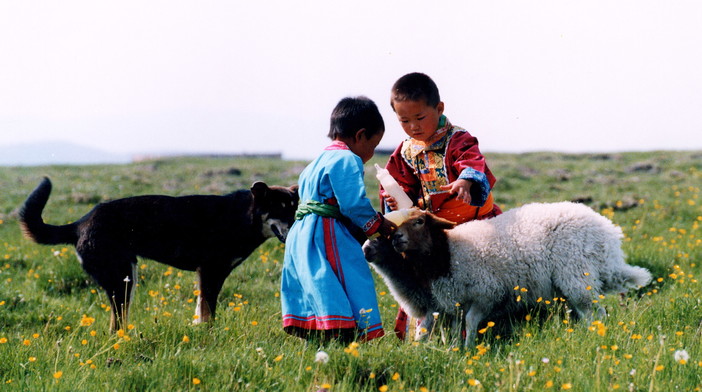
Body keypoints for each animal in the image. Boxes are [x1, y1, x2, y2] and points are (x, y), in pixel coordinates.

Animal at [19, 178, 300, 330]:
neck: (243, 217)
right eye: (279, 209)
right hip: (123, 279)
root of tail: (80, 223)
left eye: (294, 208)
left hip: (126, 278)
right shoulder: (211, 272)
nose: (297, 226)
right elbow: (208, 312)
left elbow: (201, 310)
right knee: (116, 322)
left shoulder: (206, 275)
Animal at [366, 202, 656, 346]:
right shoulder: (449, 303)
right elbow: (449, 328)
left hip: (577, 275)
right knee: (584, 313)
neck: (446, 254)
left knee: (597, 313)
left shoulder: (486, 292)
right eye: (390, 229)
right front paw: (449, 350)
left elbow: (471, 323)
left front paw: (468, 350)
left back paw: (597, 337)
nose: (397, 239)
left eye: (419, 221)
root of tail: (607, 232)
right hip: (571, 283)